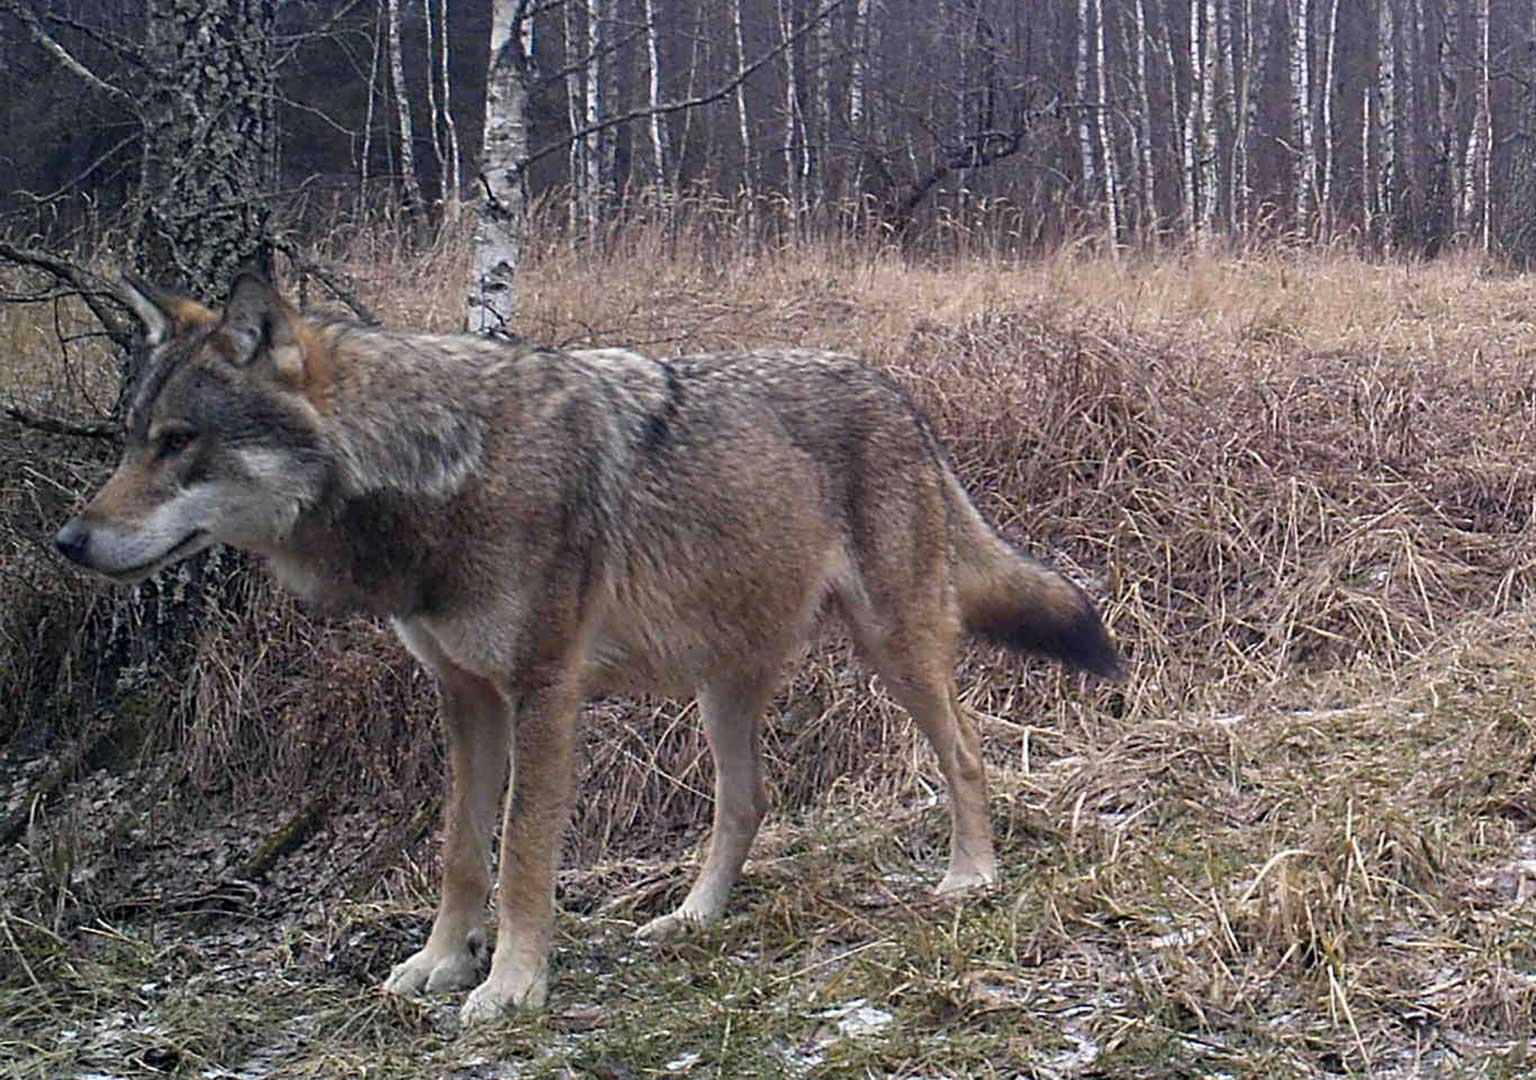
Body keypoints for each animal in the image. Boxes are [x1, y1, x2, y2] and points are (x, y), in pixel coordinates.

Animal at [54, 274, 1124, 1026]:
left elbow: (524, 850)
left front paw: (511, 987)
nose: (67, 541)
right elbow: (460, 851)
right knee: (747, 805)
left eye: (178, 441)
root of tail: (900, 393)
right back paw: (692, 918)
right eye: (129, 438)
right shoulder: (463, 695)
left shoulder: (544, 691)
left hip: (895, 649)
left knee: (970, 755)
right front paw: (438, 964)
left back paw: (971, 878)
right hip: (722, 685)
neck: (440, 471)